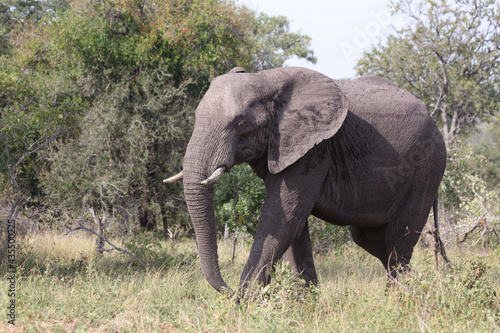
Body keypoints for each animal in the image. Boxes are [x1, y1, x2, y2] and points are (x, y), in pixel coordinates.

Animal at [163, 66, 446, 294]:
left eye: (241, 123)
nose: (229, 289)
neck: (266, 79)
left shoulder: (313, 150)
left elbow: (281, 221)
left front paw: (243, 307)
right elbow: (293, 227)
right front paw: (306, 305)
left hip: (427, 167)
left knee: (400, 238)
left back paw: (399, 299)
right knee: (371, 239)